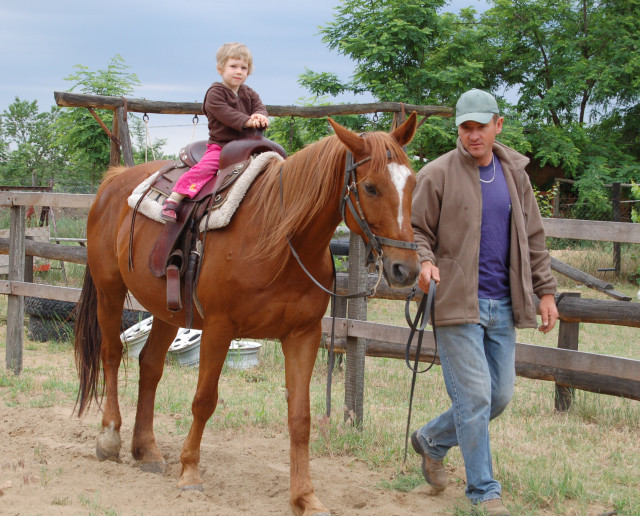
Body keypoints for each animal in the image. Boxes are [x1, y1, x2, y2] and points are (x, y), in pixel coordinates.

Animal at [74, 114, 420, 516]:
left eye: (412, 184)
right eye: (371, 187)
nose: (406, 269)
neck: (281, 239)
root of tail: (113, 181)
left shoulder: (303, 335)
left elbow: (300, 416)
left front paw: (305, 497)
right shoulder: (219, 327)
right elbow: (204, 401)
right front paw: (190, 473)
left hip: (166, 311)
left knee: (150, 366)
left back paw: (146, 450)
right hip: (109, 291)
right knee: (112, 355)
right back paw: (110, 438)